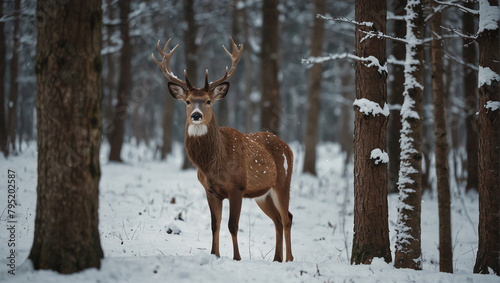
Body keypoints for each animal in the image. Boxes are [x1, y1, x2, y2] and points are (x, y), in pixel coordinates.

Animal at [150, 38, 294, 262]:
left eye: (208, 101)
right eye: (188, 101)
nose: (196, 115)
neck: (214, 163)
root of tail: (288, 147)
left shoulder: (238, 187)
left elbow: (232, 225)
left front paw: (237, 258)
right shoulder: (210, 190)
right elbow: (214, 225)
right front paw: (214, 255)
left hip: (283, 181)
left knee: (287, 218)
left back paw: (289, 259)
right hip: (262, 194)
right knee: (278, 219)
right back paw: (277, 259)